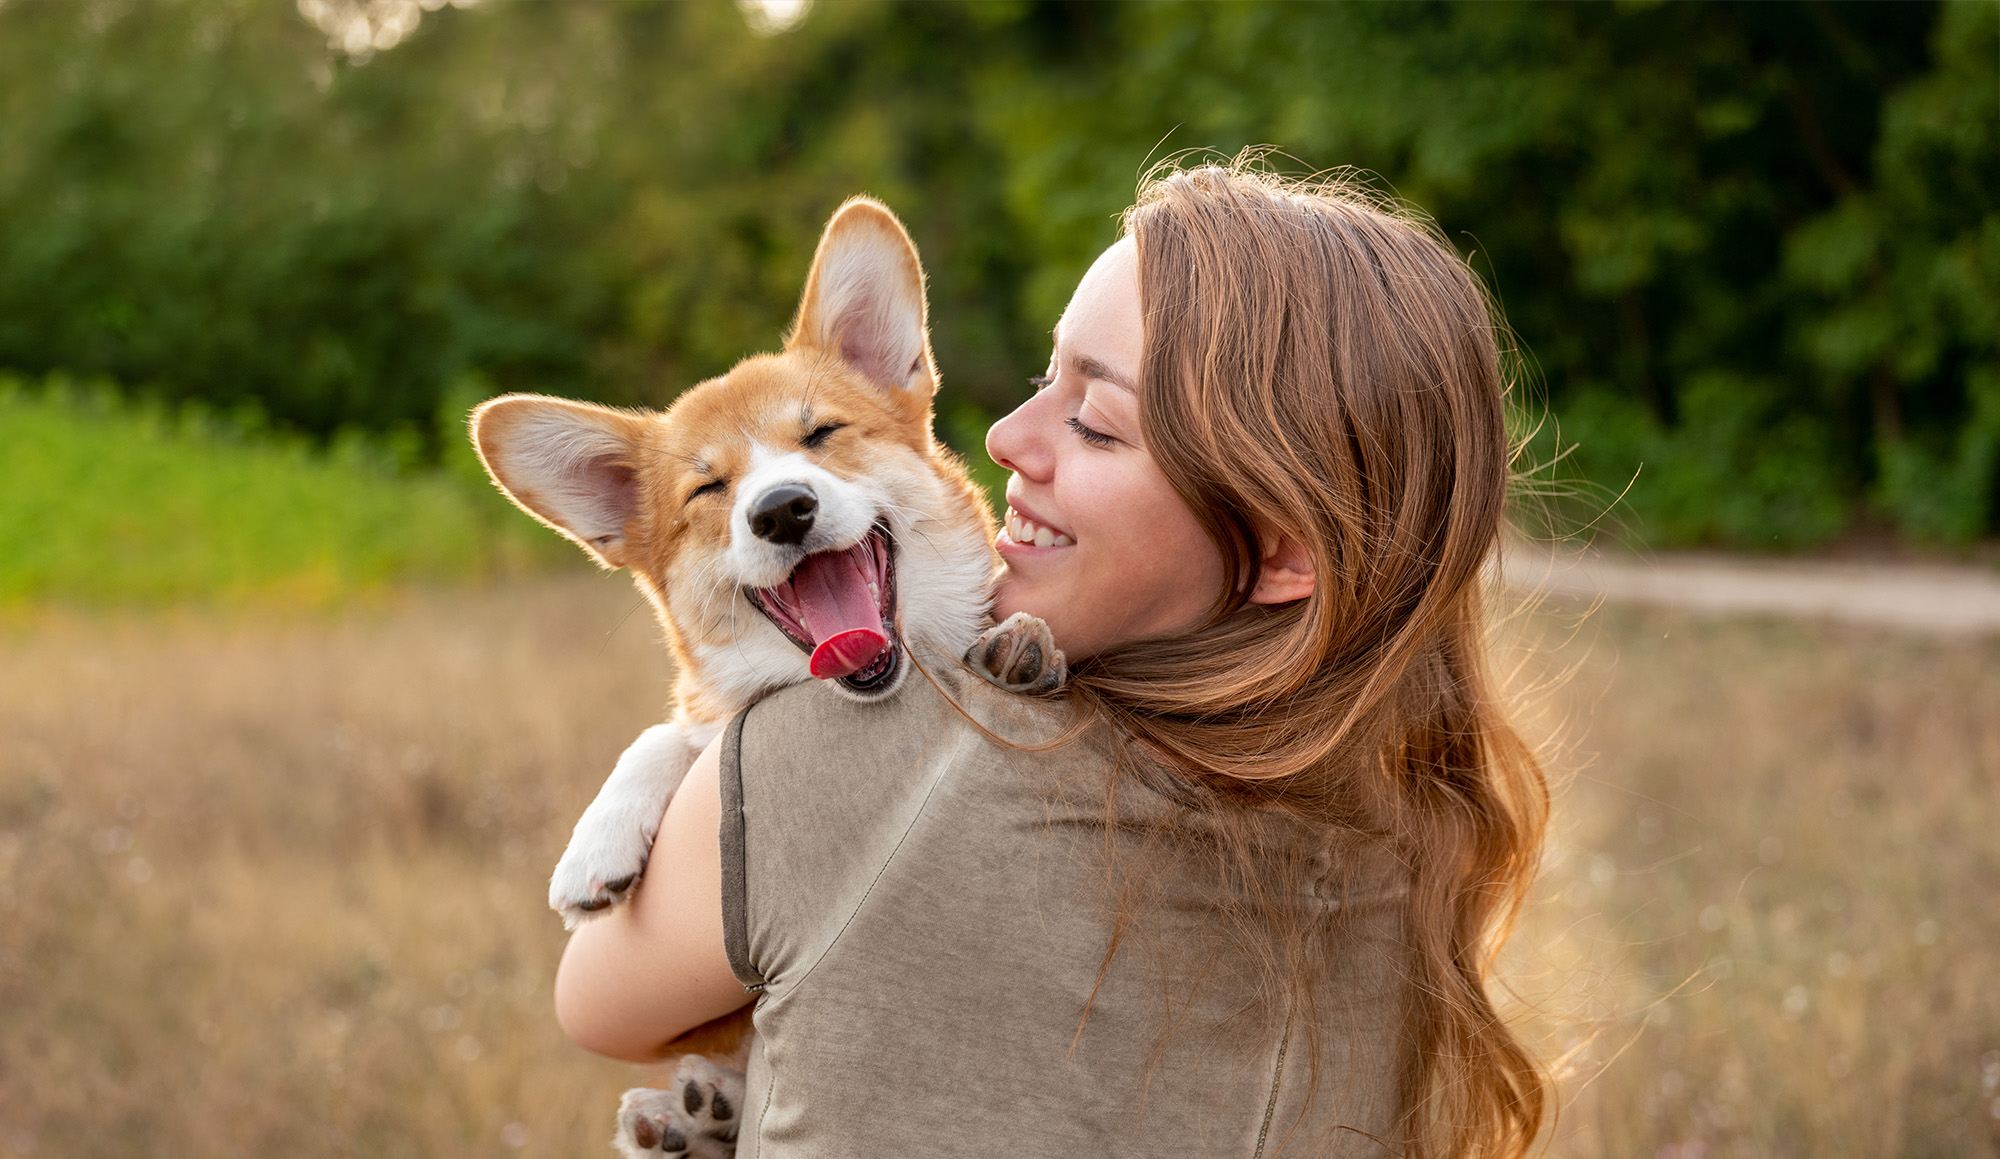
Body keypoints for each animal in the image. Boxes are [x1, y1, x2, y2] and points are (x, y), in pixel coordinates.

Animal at [470, 198, 1064, 1159]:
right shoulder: (710, 716)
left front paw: (1023, 641)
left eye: (821, 434)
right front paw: (595, 847)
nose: (782, 509)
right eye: (708, 490)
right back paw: (684, 1114)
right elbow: (666, 733)